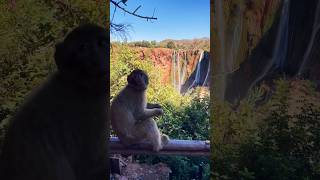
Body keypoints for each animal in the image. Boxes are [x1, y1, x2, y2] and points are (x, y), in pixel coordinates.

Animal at [0, 24, 109, 180]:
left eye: (102, 43)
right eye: (83, 47)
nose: (96, 57)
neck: (78, 85)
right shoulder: (92, 117)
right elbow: (90, 169)